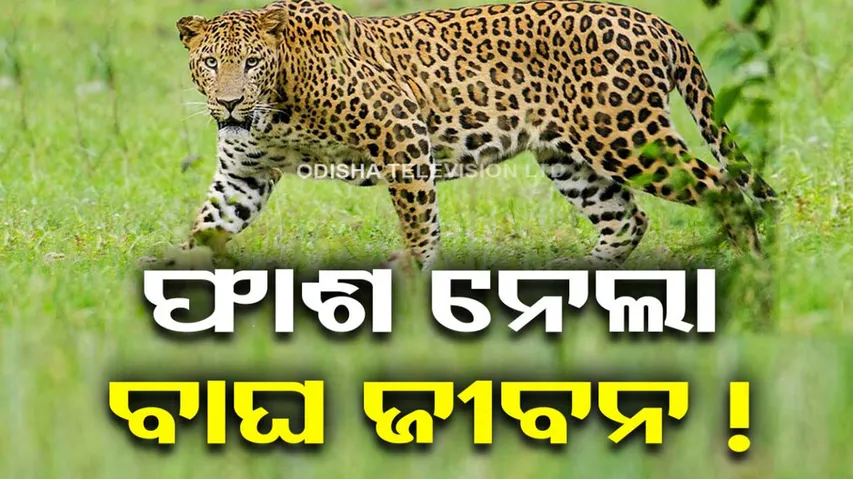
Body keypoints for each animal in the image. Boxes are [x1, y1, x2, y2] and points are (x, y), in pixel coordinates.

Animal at [175, 0, 776, 272]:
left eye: (252, 63)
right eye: (211, 63)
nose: (229, 103)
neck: (274, 110)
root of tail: (654, 20)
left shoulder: (401, 133)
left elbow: (418, 219)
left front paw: (413, 274)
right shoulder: (244, 174)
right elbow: (209, 225)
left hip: (626, 136)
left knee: (724, 188)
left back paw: (752, 265)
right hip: (569, 157)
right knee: (627, 218)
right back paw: (576, 277)